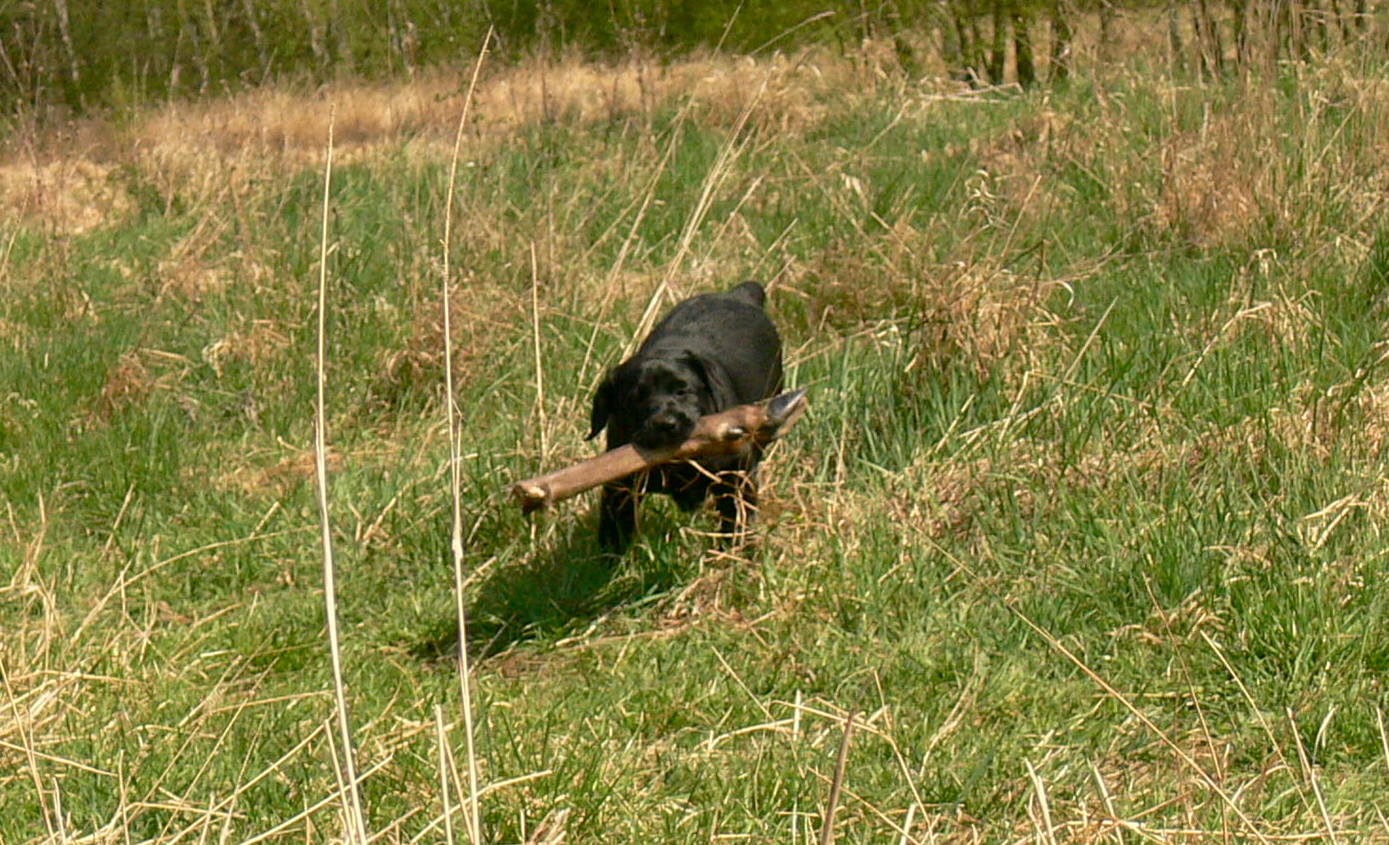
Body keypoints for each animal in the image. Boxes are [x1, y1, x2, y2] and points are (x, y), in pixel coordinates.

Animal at [586, 280, 783, 550]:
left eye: (682, 390)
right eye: (635, 399)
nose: (666, 423)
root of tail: (738, 294)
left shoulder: (736, 477)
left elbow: (735, 521)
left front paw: (734, 554)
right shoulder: (620, 487)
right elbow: (613, 530)